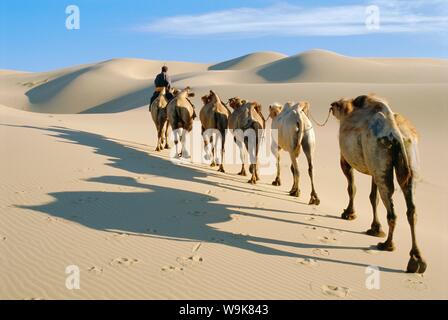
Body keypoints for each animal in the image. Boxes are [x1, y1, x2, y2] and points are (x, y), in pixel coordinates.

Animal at [332, 94, 428, 274]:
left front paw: (349, 213)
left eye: (336, 106)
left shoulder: (345, 160)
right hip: (405, 163)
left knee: (391, 209)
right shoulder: (373, 169)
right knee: (411, 208)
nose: (332, 105)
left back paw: (387, 245)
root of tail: (397, 133)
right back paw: (417, 259)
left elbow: (352, 188)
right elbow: (372, 197)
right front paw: (375, 228)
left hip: (380, 157)